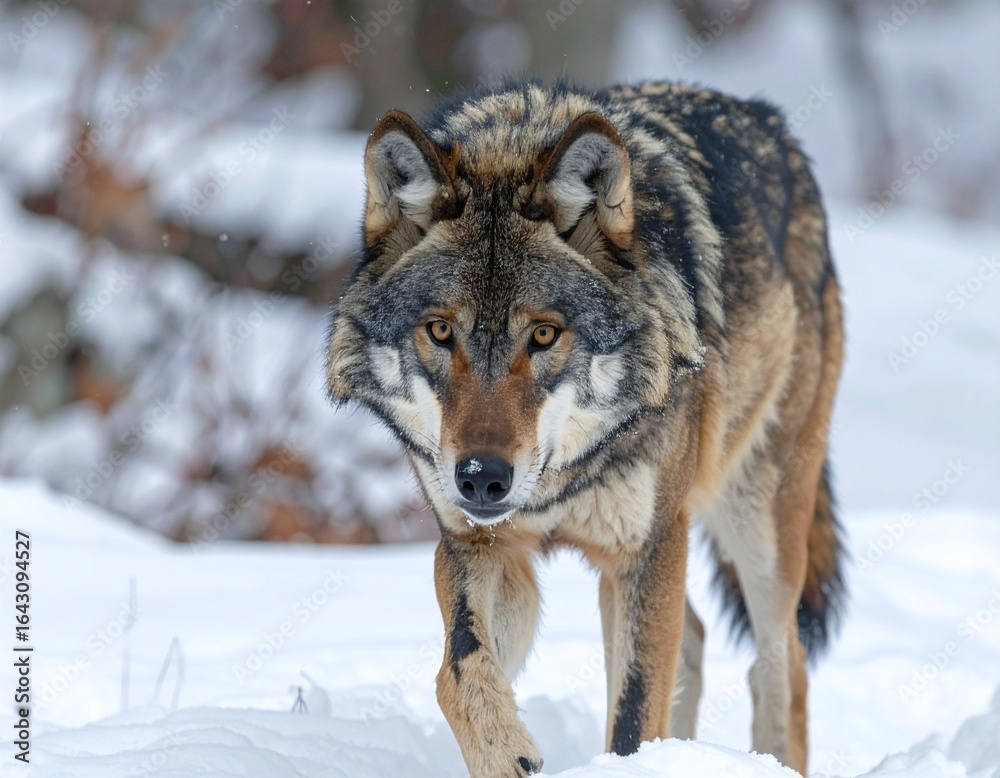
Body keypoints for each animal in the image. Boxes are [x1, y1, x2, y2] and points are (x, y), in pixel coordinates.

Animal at [326, 80, 846, 777]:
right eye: (439, 330)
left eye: (544, 335)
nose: (481, 479)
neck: (559, 483)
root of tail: (771, 120)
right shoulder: (479, 546)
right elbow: (458, 669)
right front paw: (505, 754)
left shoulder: (648, 547)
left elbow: (631, 717)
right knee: (695, 642)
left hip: (757, 525)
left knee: (780, 665)